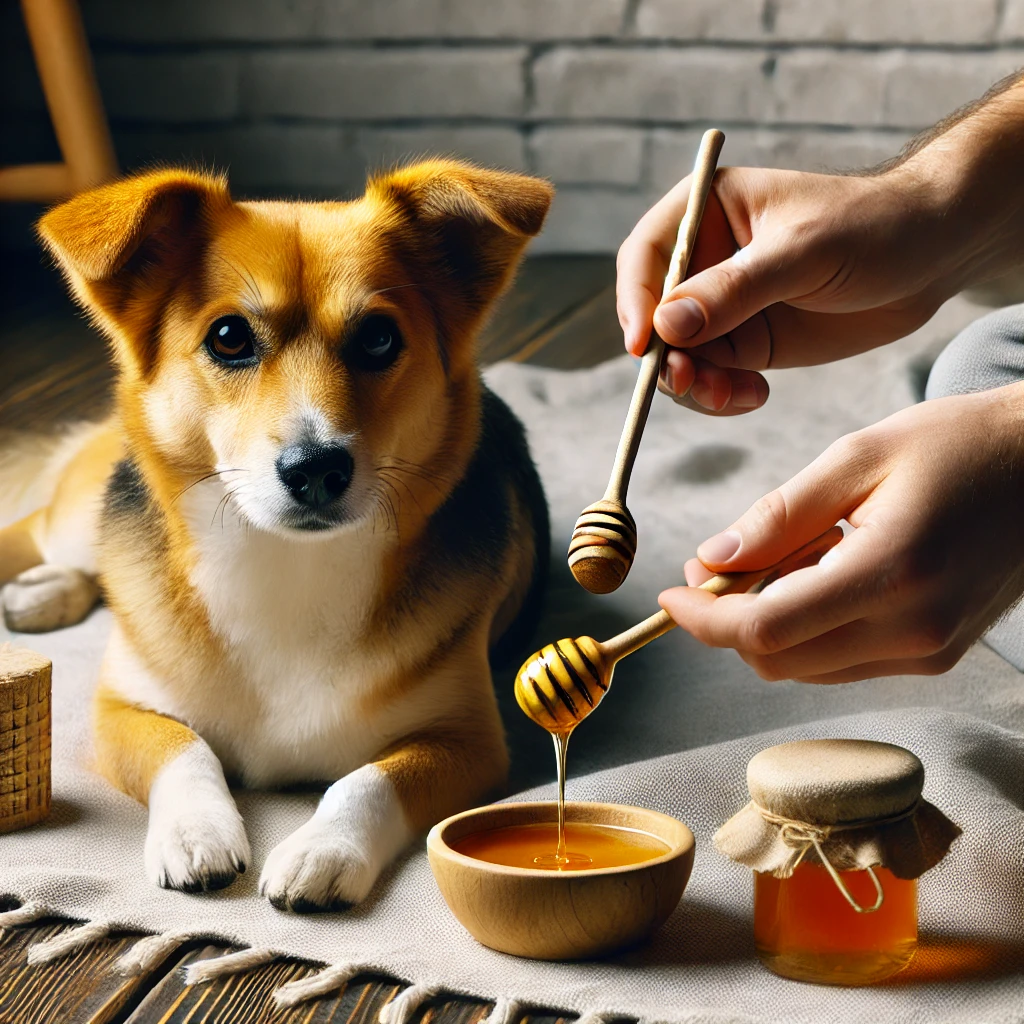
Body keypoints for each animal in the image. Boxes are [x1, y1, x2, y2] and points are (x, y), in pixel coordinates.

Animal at [0, 161, 552, 913]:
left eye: (379, 338)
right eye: (229, 337)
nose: (316, 468)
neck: (284, 562)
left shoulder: (468, 742)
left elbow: (369, 779)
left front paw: (324, 849)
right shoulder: (118, 710)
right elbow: (183, 748)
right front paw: (195, 831)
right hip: (78, 520)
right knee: (38, 532)